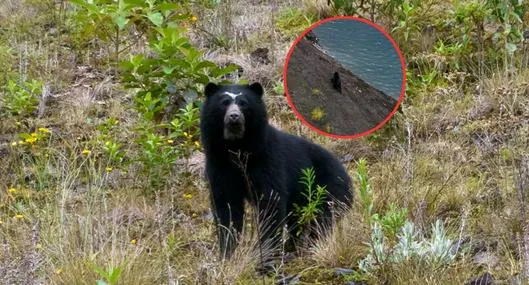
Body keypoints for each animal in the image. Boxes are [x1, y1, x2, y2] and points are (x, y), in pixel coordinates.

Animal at [198, 81, 350, 258]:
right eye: (224, 102)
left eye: (243, 103)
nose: (234, 116)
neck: (237, 147)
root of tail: (347, 175)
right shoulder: (218, 163)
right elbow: (226, 205)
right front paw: (227, 251)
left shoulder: (267, 158)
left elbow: (270, 200)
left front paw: (269, 250)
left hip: (328, 188)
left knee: (322, 218)